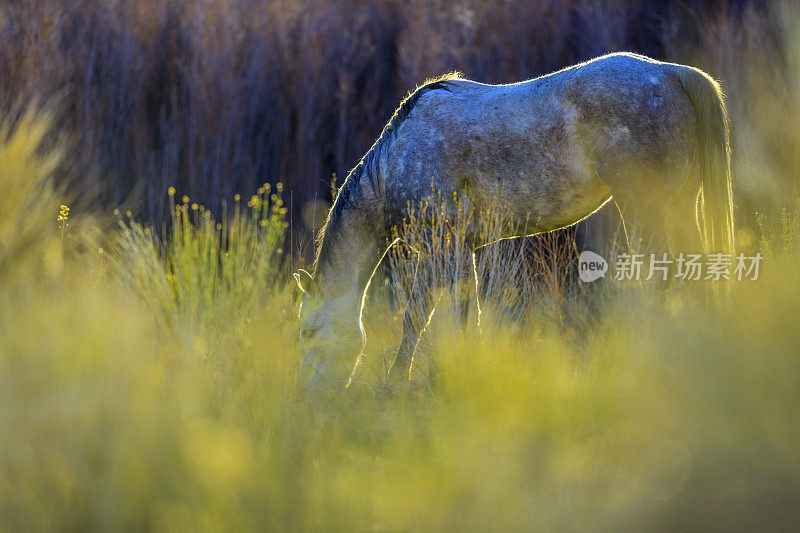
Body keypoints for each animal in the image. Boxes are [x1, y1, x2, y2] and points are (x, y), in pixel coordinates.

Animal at [292, 52, 732, 388]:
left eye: (307, 333)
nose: (310, 400)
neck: (393, 161)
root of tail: (671, 72)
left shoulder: (439, 246)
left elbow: (419, 315)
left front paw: (401, 380)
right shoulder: (464, 248)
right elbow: (463, 312)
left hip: (646, 208)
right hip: (678, 206)